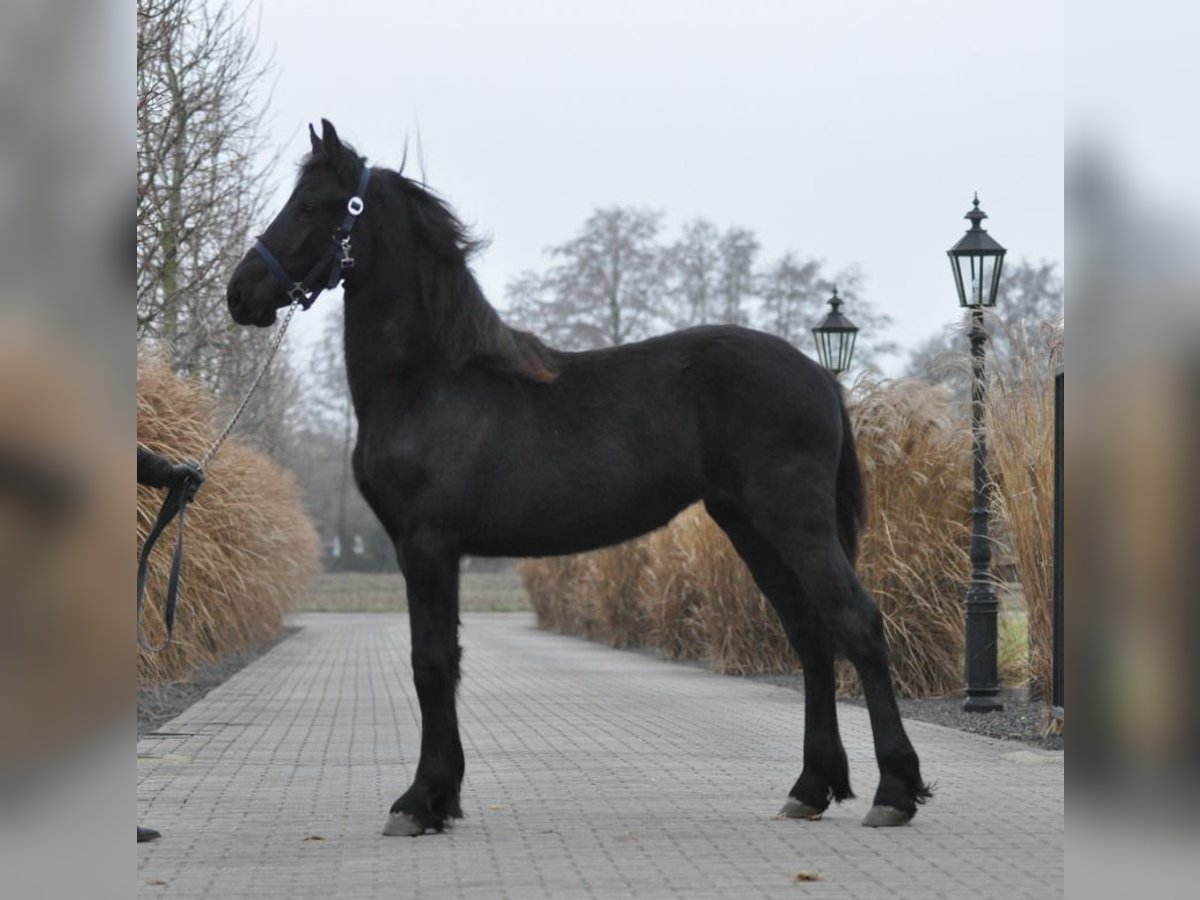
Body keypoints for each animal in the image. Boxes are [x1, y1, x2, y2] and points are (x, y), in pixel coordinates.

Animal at [229, 120, 931, 840]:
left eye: (313, 206)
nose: (241, 293)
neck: (428, 381)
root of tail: (820, 374)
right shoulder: (430, 549)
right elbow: (444, 660)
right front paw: (442, 796)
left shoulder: (426, 543)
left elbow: (431, 663)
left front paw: (419, 801)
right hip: (751, 527)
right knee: (810, 634)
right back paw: (811, 788)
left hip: (796, 522)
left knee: (857, 623)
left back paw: (894, 792)